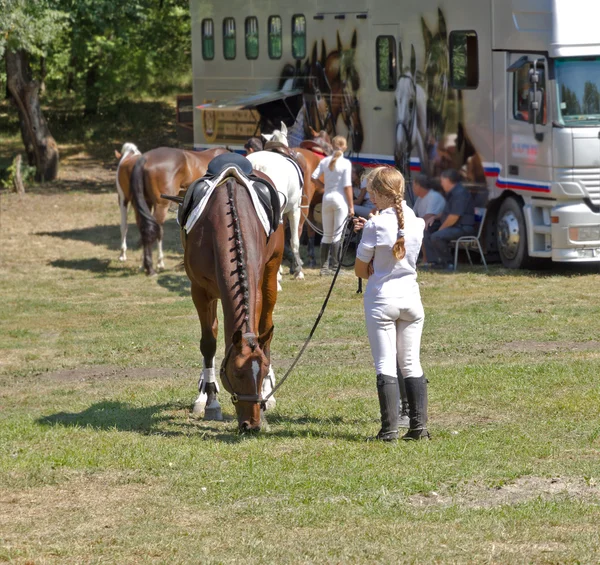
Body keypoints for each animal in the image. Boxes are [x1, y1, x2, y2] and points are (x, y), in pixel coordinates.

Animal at [130, 145, 229, 274]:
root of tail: (145, 158)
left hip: (146, 203)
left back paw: (144, 265)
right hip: (161, 205)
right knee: (153, 230)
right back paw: (152, 266)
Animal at [182, 152, 284, 430]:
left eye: (262, 370)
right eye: (236, 373)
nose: (252, 424)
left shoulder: (257, 285)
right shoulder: (200, 290)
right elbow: (209, 343)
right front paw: (210, 402)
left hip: (271, 274)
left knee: (266, 324)